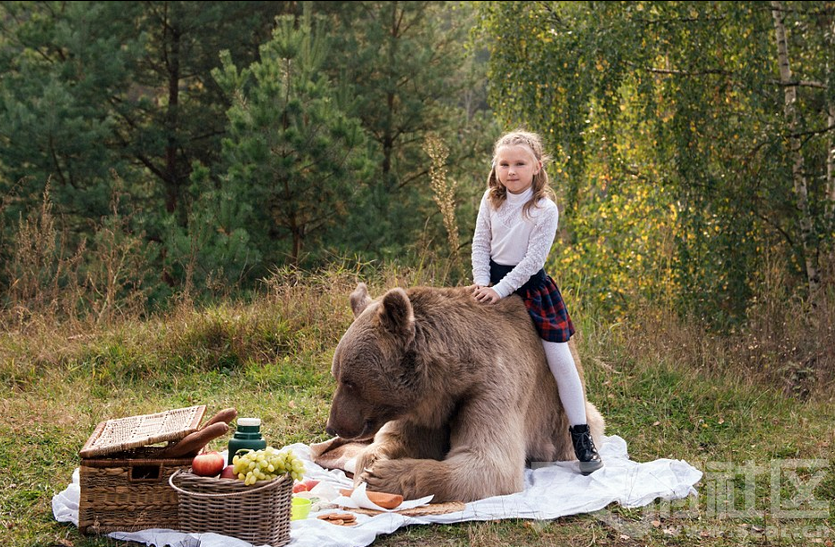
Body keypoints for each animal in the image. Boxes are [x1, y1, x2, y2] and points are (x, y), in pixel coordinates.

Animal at [324, 284, 604, 504]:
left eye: (349, 382)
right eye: (337, 375)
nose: (332, 426)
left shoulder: (491, 387)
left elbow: (489, 462)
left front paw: (381, 476)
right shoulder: (422, 409)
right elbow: (396, 439)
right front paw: (370, 466)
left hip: (560, 419)